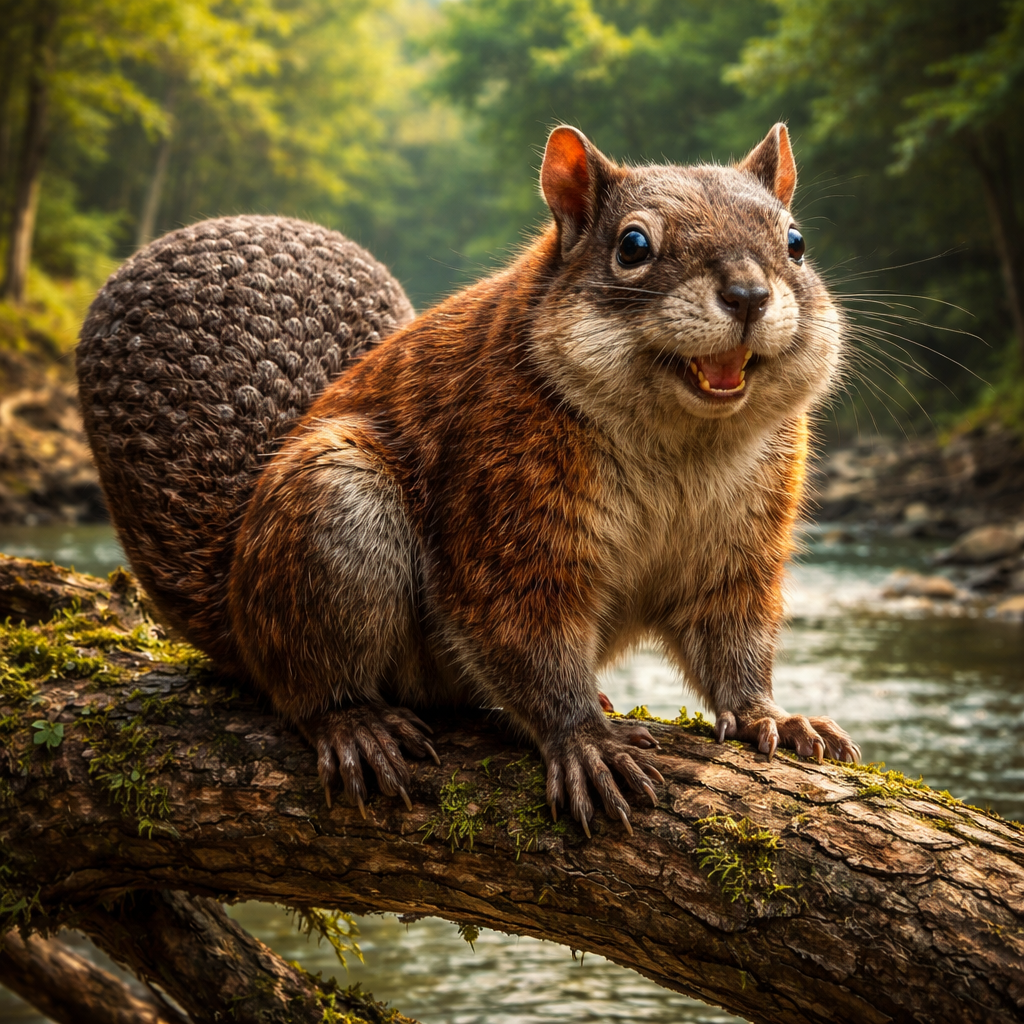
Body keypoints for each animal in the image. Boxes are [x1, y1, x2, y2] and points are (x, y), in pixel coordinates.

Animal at [78, 124, 860, 836]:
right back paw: (353, 721)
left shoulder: (742, 542)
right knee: (300, 686)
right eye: (633, 246)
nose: (749, 294)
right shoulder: (501, 503)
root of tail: (236, 601)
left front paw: (769, 714)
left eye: (796, 242)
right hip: (334, 516)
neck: (685, 444)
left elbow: (734, 634)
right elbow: (524, 637)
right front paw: (584, 739)